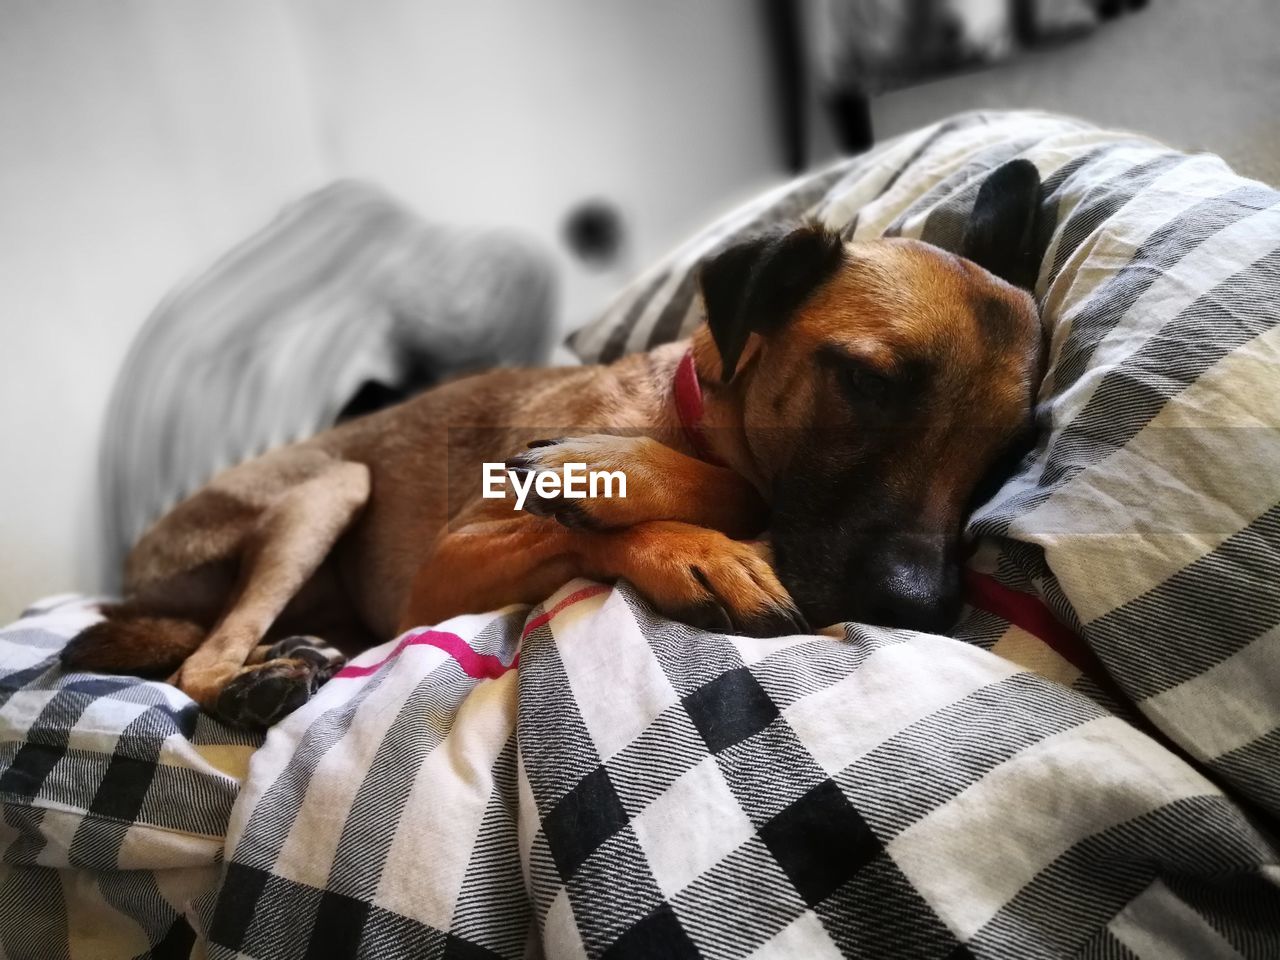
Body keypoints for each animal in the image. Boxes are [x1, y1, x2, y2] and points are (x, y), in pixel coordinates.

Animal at [60, 160, 1044, 727]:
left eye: (1005, 450)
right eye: (866, 383)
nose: (921, 607)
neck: (688, 413)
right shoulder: (442, 569)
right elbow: (645, 509)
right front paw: (684, 533)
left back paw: (286, 659)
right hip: (330, 487)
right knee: (199, 660)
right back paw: (252, 681)